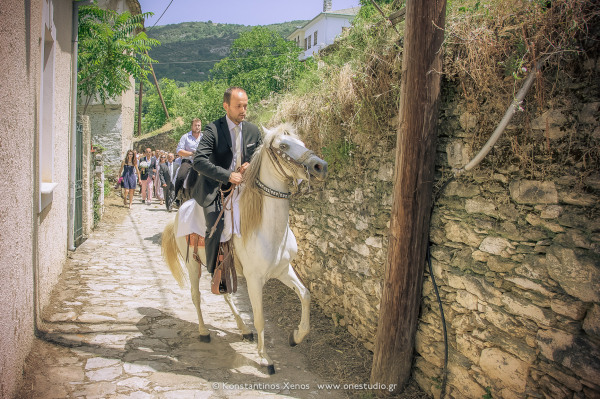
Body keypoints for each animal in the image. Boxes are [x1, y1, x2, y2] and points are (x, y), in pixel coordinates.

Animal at [161, 122, 328, 376]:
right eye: (283, 146)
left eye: (302, 142)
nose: (320, 166)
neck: (267, 227)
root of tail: (181, 210)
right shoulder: (254, 279)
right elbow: (259, 318)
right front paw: (265, 359)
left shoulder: (283, 270)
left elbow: (305, 295)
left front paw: (296, 336)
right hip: (193, 265)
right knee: (196, 296)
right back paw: (204, 332)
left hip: (219, 266)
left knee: (225, 293)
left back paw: (243, 328)